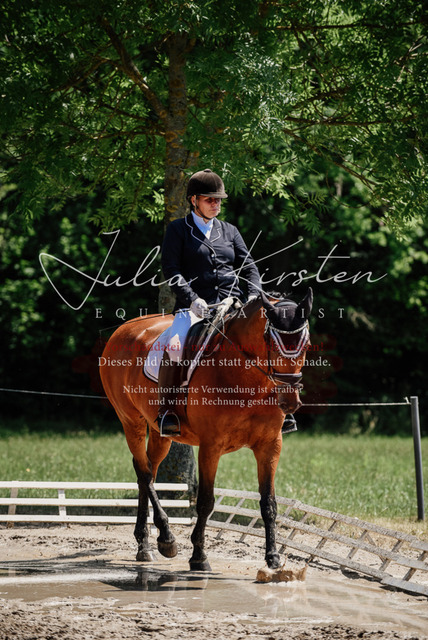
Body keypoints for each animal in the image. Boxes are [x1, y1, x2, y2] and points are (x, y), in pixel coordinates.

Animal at [99, 288, 313, 571]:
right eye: (270, 342)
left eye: (306, 346)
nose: (290, 402)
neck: (248, 382)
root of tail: (124, 327)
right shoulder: (211, 446)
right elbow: (205, 502)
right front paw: (199, 557)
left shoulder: (270, 446)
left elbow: (269, 503)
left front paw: (273, 557)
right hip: (130, 420)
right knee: (144, 473)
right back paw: (166, 538)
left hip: (159, 432)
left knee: (147, 470)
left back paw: (145, 545)